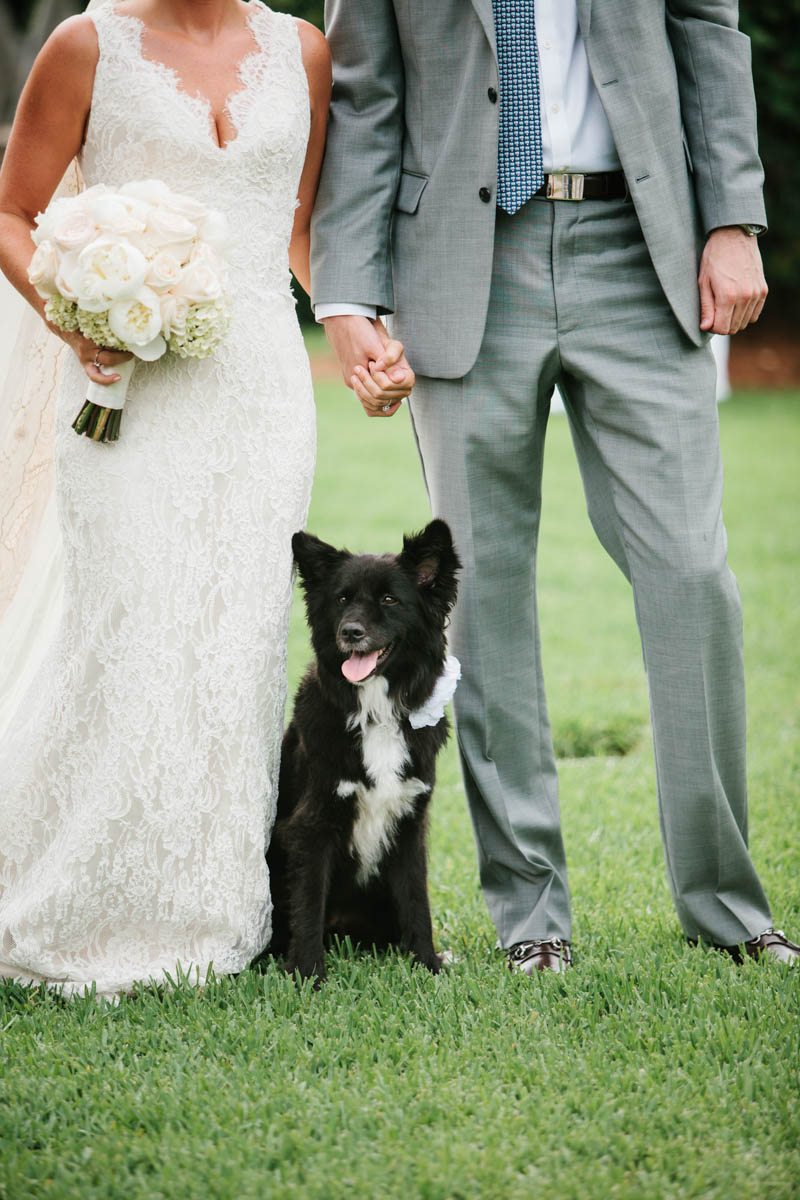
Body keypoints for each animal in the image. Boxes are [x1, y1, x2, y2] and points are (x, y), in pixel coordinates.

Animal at [267, 519, 460, 983]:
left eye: (390, 599)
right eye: (342, 599)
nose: (350, 633)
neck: (377, 714)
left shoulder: (410, 823)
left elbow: (417, 902)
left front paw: (426, 965)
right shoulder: (312, 825)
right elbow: (308, 906)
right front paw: (307, 975)